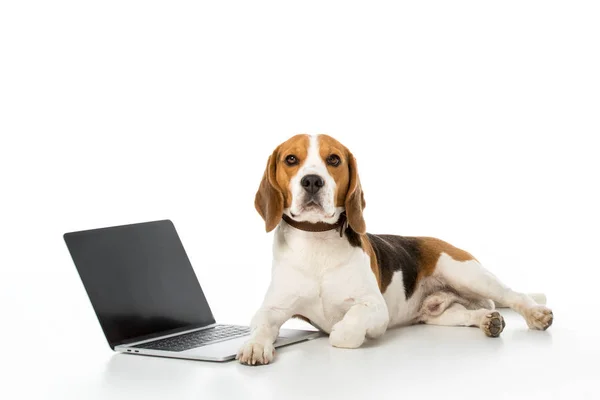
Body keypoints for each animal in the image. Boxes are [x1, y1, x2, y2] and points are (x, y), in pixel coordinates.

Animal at [236, 134, 552, 366]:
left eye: (333, 159)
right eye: (291, 159)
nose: (312, 181)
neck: (317, 242)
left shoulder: (375, 308)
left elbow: (348, 329)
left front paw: (341, 331)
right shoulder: (272, 308)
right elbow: (261, 324)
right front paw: (254, 346)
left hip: (469, 274)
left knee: (514, 295)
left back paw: (537, 315)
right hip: (440, 313)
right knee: (468, 313)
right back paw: (487, 320)